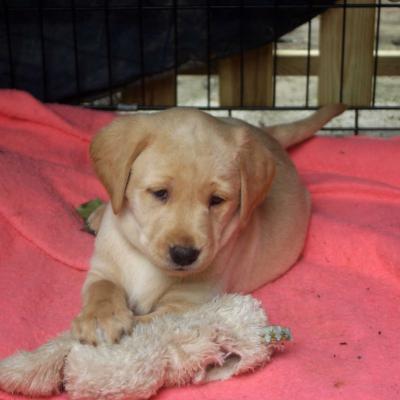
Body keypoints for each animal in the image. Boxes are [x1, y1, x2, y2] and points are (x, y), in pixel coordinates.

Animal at [73, 104, 346, 346]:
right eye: (160, 193)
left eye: (216, 200)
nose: (184, 255)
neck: (149, 264)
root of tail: (267, 136)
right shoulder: (103, 269)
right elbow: (103, 288)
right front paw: (100, 318)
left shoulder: (187, 304)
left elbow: (148, 324)